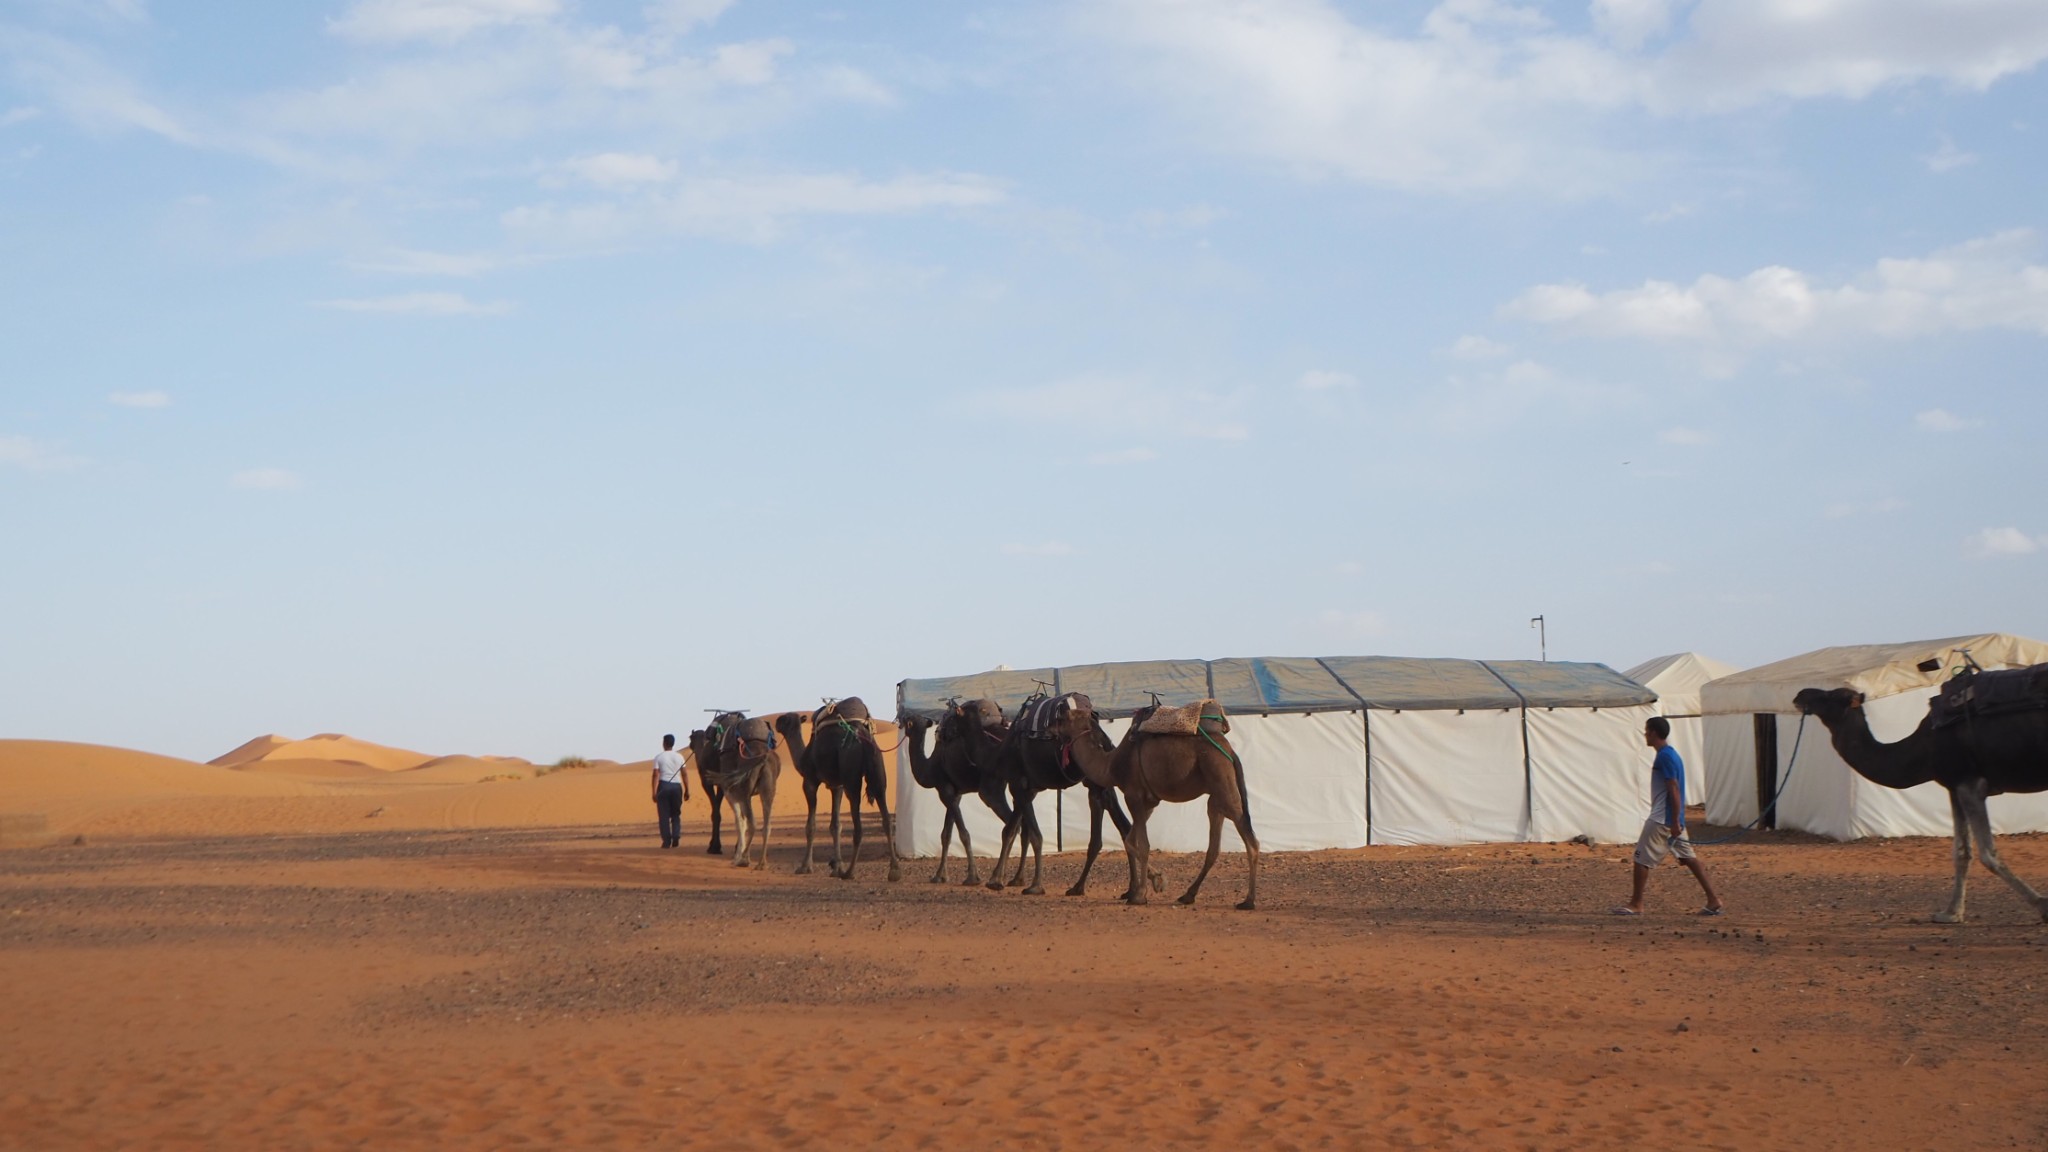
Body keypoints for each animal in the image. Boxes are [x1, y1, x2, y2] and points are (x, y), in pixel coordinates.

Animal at [770, 701, 897, 877]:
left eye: (785, 719)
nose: (776, 722)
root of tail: (862, 732)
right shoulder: (837, 786)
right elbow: (836, 825)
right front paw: (836, 865)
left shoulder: (809, 781)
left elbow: (811, 826)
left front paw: (805, 866)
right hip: (877, 767)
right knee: (884, 812)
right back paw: (894, 870)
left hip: (851, 774)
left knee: (858, 822)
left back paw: (849, 872)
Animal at [1056, 688, 1261, 906]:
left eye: (1065, 718)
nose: (1050, 726)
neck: (1112, 766)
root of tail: (1230, 751)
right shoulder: (1149, 803)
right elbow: (1130, 840)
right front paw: (1150, 884)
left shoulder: (1133, 796)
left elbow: (1142, 845)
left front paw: (1142, 893)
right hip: (1215, 797)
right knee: (1214, 847)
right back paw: (1188, 895)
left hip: (1221, 778)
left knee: (1250, 839)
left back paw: (1248, 901)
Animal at [1794, 668, 2048, 918]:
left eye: (1830, 696)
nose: (1800, 695)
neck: (1925, 748)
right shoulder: (1955, 786)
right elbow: (1961, 852)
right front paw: (1951, 913)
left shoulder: (1970, 783)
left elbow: (1988, 854)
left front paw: (2042, 905)